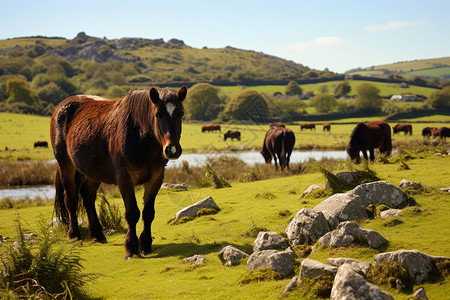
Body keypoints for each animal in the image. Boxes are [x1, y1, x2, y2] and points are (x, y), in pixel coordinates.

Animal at [50, 85, 187, 258]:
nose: (172, 149)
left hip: (92, 172)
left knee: (88, 197)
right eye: (157, 114)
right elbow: (132, 213)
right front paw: (131, 248)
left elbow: (148, 213)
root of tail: (60, 107)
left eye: (180, 114)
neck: (140, 137)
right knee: (71, 199)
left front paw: (146, 245)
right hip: (66, 165)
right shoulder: (124, 178)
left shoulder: (156, 178)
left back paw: (98, 235)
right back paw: (74, 234)